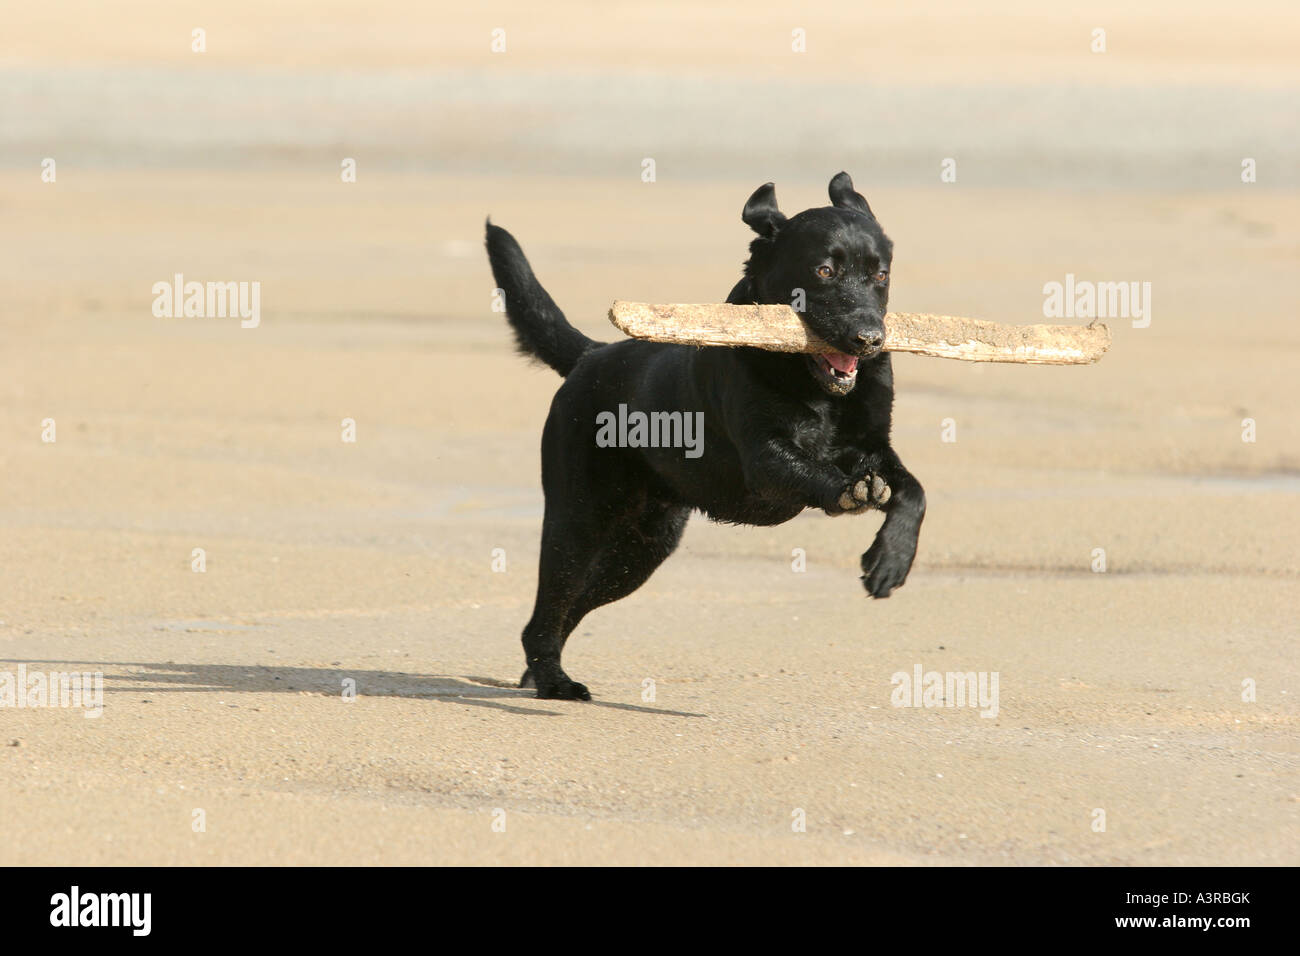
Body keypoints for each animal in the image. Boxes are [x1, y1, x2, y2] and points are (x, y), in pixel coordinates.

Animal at [486, 171, 925, 697]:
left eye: (881, 275)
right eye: (824, 271)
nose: (870, 338)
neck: (815, 386)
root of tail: (590, 356)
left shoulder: (876, 446)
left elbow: (914, 492)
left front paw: (891, 559)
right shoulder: (764, 458)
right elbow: (816, 471)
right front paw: (849, 491)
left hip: (640, 551)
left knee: (569, 607)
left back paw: (538, 672)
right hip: (578, 520)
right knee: (548, 607)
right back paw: (554, 681)